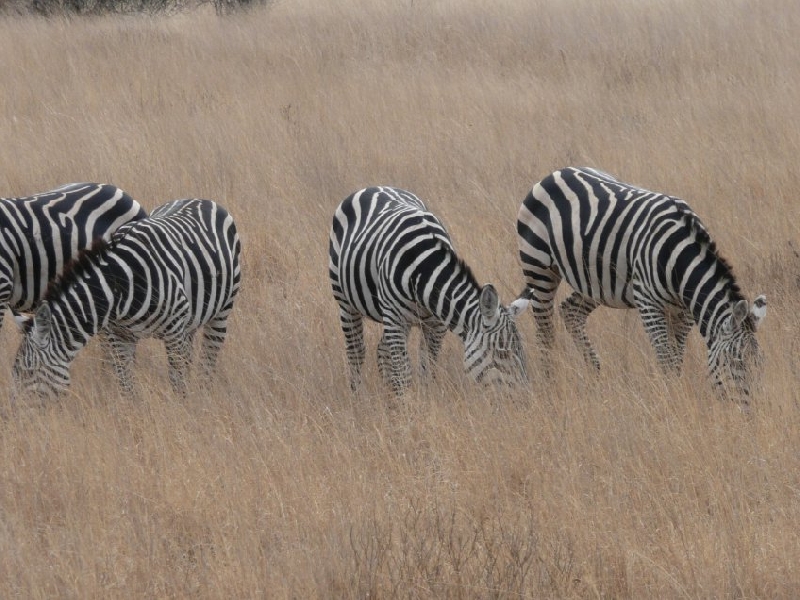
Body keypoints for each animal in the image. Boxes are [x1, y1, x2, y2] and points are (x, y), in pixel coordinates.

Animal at [12, 199, 241, 400]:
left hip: (221, 312)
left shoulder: (175, 333)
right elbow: (126, 386)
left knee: (208, 362)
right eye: (15, 372)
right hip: (191, 321)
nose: (17, 415)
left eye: (28, 371)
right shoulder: (118, 337)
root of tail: (200, 200)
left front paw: (183, 410)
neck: (119, 289)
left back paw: (203, 396)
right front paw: (134, 416)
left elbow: (177, 383)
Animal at [328, 186, 528, 394]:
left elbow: (427, 367)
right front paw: (407, 402)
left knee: (382, 349)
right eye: (502, 353)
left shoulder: (436, 324)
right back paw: (358, 395)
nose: (525, 397)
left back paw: (389, 394)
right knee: (356, 351)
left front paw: (425, 395)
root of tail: (375, 187)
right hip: (346, 302)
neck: (423, 267)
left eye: (522, 353)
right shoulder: (394, 318)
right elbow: (404, 372)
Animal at [516, 166, 764, 396]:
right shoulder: (648, 303)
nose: (751, 408)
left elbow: (677, 356)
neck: (679, 258)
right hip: (539, 268)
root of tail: (556, 173)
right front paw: (672, 397)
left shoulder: (684, 311)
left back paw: (595, 374)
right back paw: (551, 383)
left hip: (596, 281)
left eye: (760, 363)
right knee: (544, 329)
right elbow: (666, 359)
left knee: (570, 311)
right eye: (735, 361)